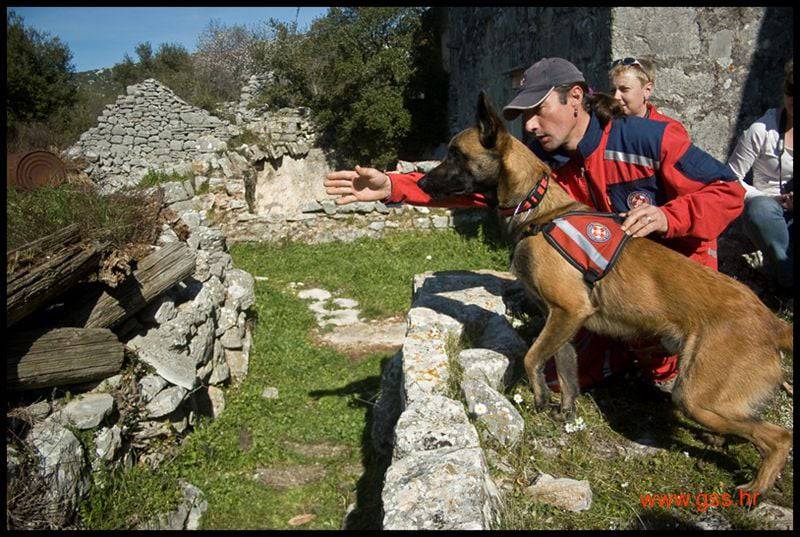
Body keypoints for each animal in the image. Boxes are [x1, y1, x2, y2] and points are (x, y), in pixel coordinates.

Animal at [418, 92, 792, 494]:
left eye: (455, 154)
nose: (421, 182)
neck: (536, 206)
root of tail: (772, 323)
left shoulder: (567, 311)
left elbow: (533, 358)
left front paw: (540, 396)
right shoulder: (563, 320)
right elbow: (566, 371)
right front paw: (565, 413)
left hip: (695, 396)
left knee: (778, 436)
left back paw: (755, 487)